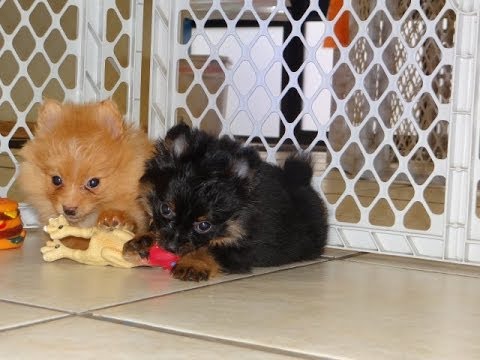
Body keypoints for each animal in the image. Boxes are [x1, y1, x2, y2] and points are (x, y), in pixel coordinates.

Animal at [122, 124, 328, 282]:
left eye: (204, 225)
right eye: (165, 209)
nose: (171, 247)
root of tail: (301, 181)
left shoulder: (243, 247)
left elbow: (210, 249)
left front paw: (193, 263)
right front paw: (143, 239)